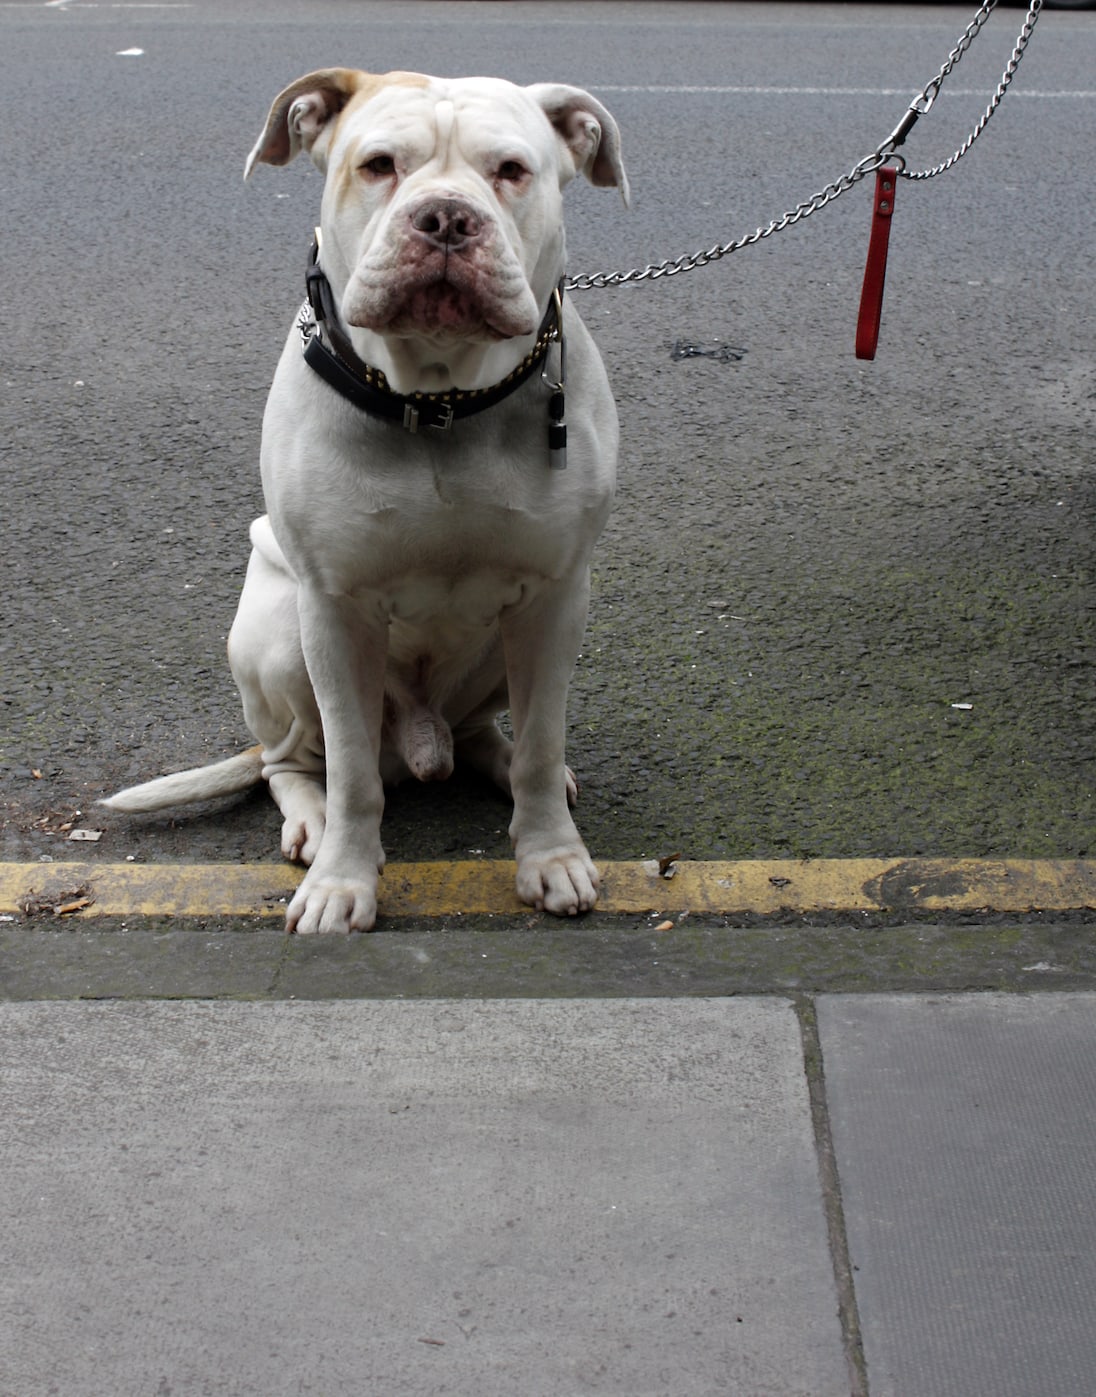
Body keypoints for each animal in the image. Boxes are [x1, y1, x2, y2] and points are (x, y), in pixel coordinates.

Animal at [108, 70, 633, 933]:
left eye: (511, 171)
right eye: (380, 165)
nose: (446, 218)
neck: (442, 399)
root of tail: (421, 741)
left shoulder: (556, 600)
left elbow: (542, 740)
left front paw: (551, 854)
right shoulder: (335, 612)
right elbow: (353, 771)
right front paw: (341, 881)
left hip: (500, 649)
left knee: (491, 730)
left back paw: (500, 763)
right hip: (280, 638)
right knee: (290, 759)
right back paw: (311, 821)